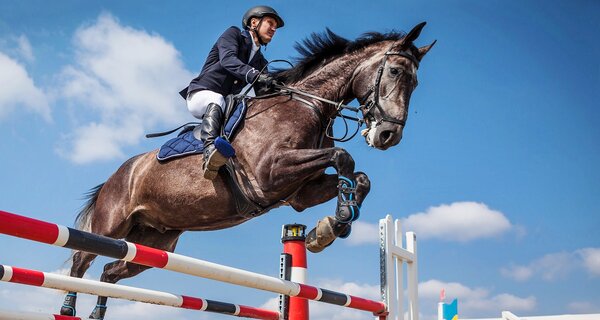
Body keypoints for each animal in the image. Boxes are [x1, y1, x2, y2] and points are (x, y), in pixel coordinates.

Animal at [59, 21, 436, 318]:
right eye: (395, 72)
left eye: (416, 83)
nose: (388, 136)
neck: (308, 105)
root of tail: (118, 174)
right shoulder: (271, 174)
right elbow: (343, 157)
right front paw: (335, 222)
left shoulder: (300, 193)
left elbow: (360, 177)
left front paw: (331, 226)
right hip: (113, 223)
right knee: (81, 258)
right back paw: (67, 307)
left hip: (156, 241)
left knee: (111, 270)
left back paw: (97, 311)